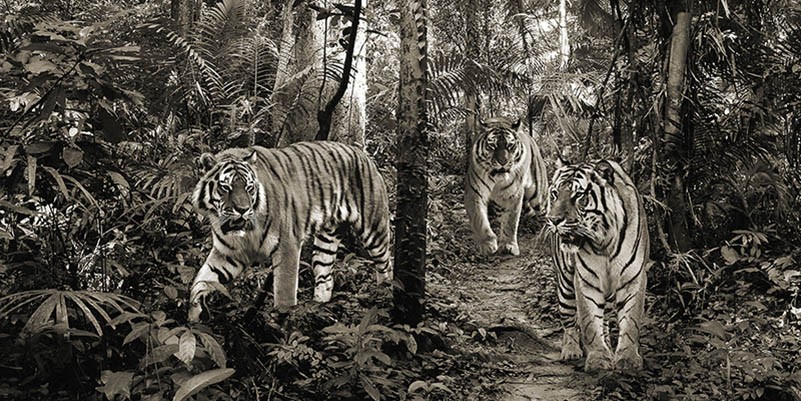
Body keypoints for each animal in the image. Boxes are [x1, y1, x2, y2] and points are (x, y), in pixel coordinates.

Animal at [187, 141, 392, 322]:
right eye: (225, 187)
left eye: (249, 187)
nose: (243, 210)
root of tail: (361, 153)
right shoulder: (229, 254)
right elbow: (201, 281)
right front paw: (194, 318)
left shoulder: (287, 245)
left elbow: (284, 293)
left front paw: (282, 325)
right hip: (326, 241)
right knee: (325, 276)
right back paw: (318, 309)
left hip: (374, 228)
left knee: (386, 264)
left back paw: (384, 297)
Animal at [465, 117, 548, 256]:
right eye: (492, 146)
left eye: (510, 145)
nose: (503, 162)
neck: (496, 179)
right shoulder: (474, 193)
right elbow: (479, 219)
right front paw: (487, 243)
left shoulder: (514, 195)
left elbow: (510, 221)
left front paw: (509, 245)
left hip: (539, 196)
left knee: (546, 214)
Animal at [545, 159, 650, 371]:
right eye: (555, 193)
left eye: (578, 195)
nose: (553, 220)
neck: (604, 242)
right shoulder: (586, 280)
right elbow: (590, 323)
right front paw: (598, 359)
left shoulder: (633, 278)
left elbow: (630, 321)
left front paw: (627, 359)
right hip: (565, 284)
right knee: (569, 320)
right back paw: (571, 350)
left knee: (606, 319)